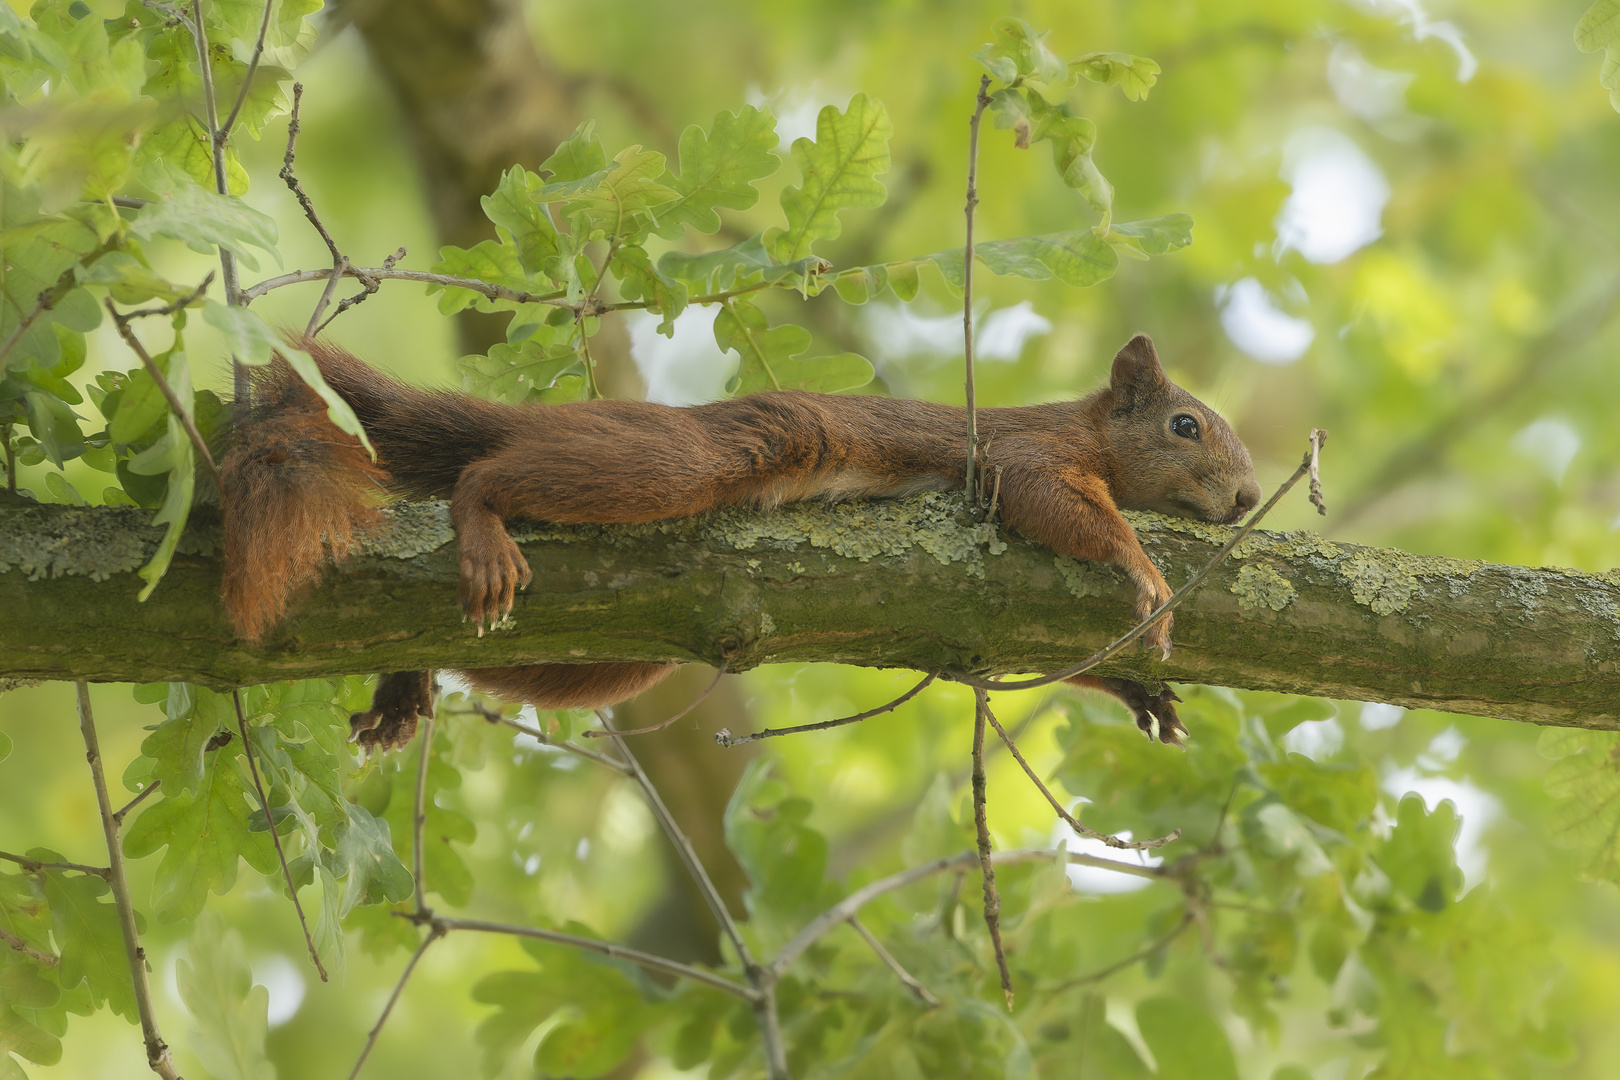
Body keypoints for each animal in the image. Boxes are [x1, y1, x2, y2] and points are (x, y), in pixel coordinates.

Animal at [215, 335, 1257, 751]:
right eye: (1186, 426)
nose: (1249, 498)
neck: (1094, 433)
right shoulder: (1027, 453)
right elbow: (1053, 503)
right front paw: (1143, 569)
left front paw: (1144, 694)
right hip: (689, 458)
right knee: (490, 474)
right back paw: (481, 517)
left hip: (619, 650)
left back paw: (404, 686)